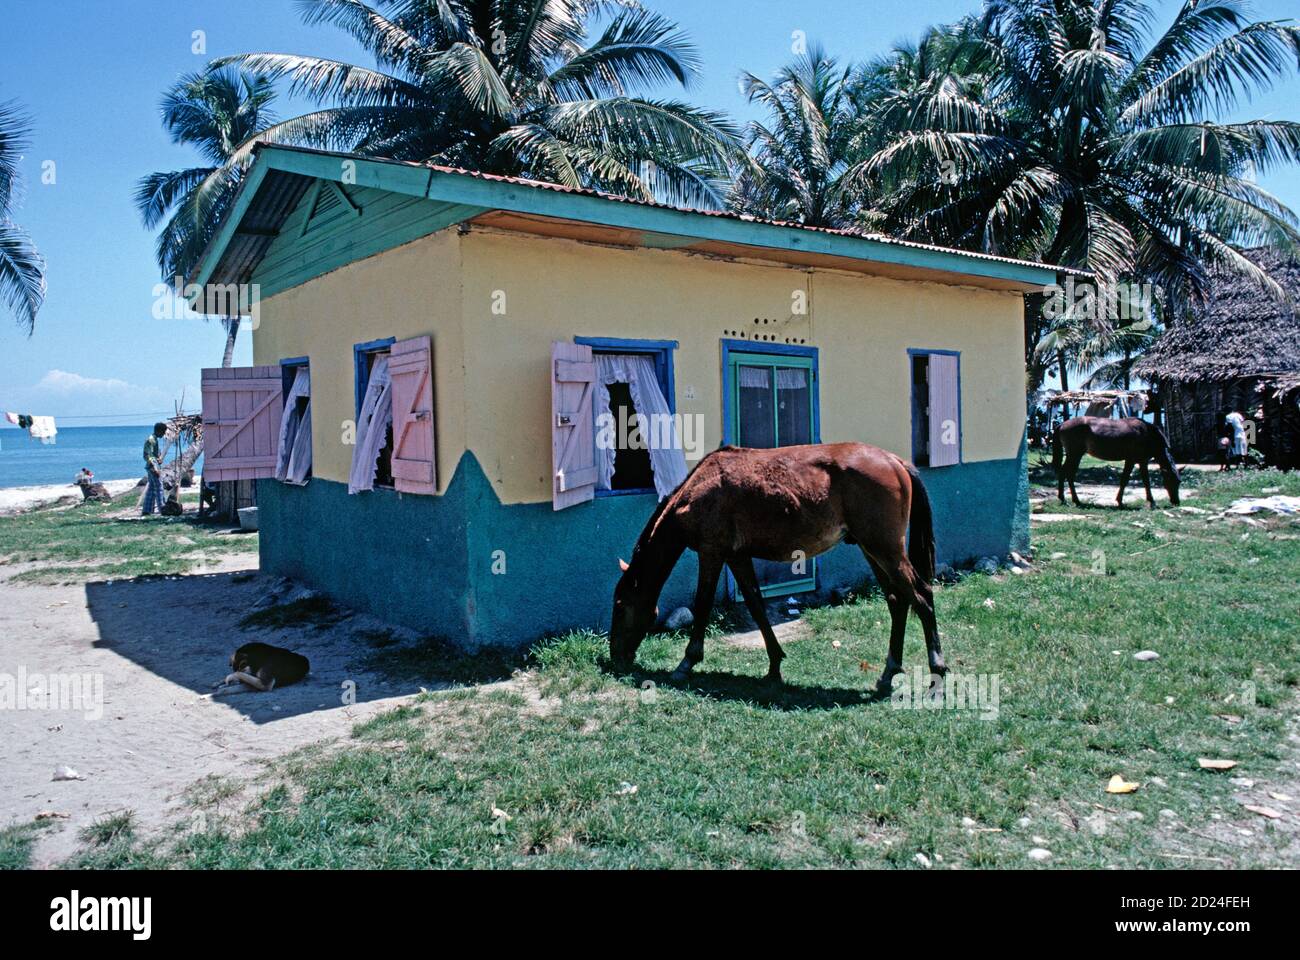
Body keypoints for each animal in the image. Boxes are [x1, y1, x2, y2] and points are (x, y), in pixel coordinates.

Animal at [608, 437, 946, 692]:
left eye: (621, 606)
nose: (616, 658)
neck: (699, 488)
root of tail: (894, 461)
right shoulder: (737, 556)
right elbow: (756, 606)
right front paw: (774, 666)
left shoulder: (712, 552)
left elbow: (702, 605)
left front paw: (686, 663)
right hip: (872, 550)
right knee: (897, 601)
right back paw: (889, 673)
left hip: (885, 550)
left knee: (922, 596)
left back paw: (937, 674)